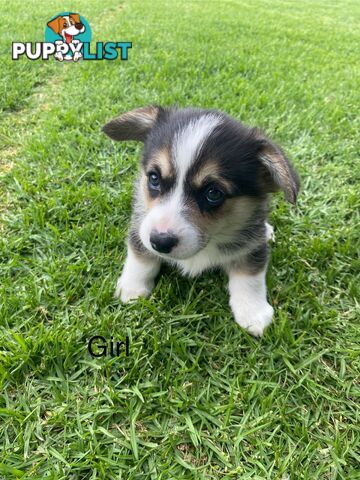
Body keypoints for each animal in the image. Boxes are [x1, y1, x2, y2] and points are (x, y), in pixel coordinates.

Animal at [102, 106, 300, 336]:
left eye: (213, 193)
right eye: (153, 178)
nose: (160, 242)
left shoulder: (251, 246)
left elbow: (249, 276)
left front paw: (253, 313)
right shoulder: (140, 224)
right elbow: (140, 257)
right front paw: (132, 288)